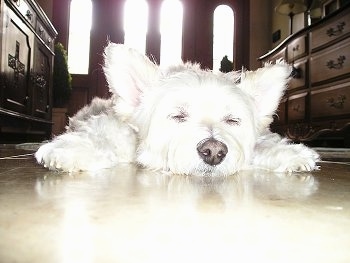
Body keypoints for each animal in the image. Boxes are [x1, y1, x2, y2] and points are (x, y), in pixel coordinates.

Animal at [36, 42, 320, 175]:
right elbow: (99, 137)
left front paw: (291, 154)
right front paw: (70, 150)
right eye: (178, 116)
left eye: (232, 120)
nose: (214, 151)